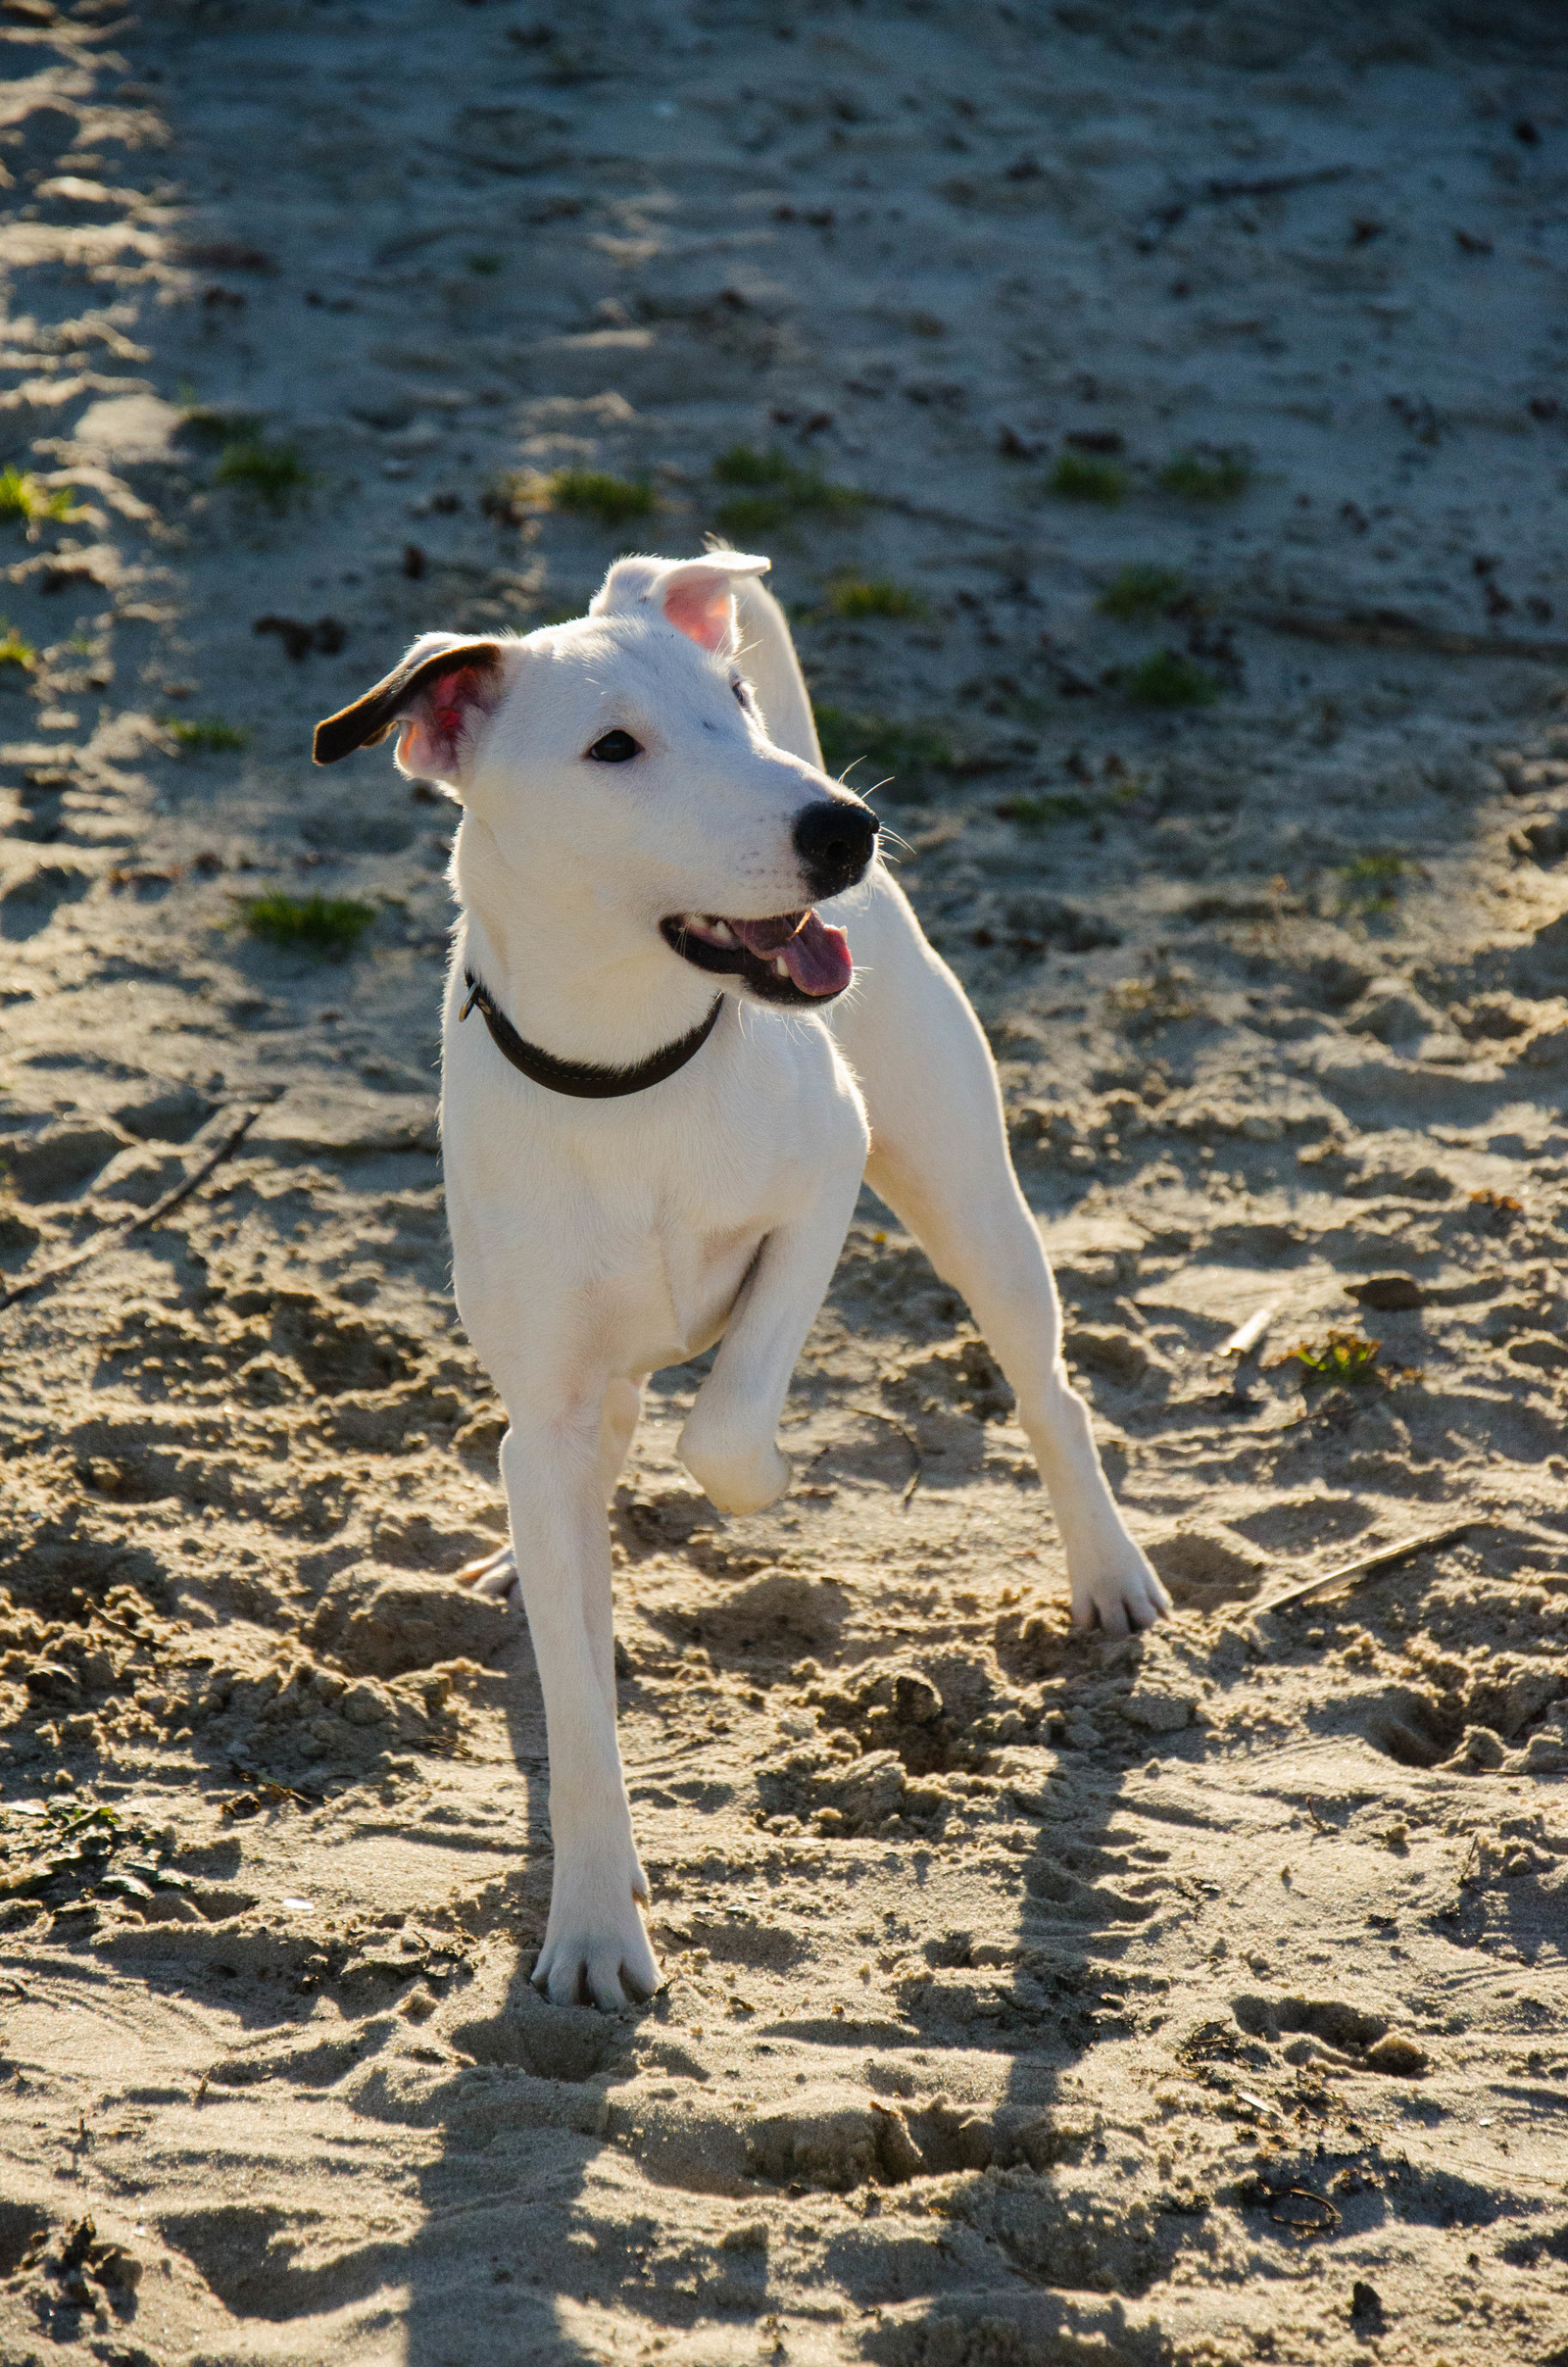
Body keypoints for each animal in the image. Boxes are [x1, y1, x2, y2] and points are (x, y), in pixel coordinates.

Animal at [312, 558, 1172, 2016]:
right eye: (613, 747)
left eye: (729, 697)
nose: (842, 827)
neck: (627, 1070)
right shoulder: (547, 1403)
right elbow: (579, 1697)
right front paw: (593, 1924)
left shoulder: (824, 1178)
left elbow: (725, 1425)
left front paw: (763, 1480)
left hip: (963, 1191)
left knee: (1045, 1385)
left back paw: (1109, 1572)